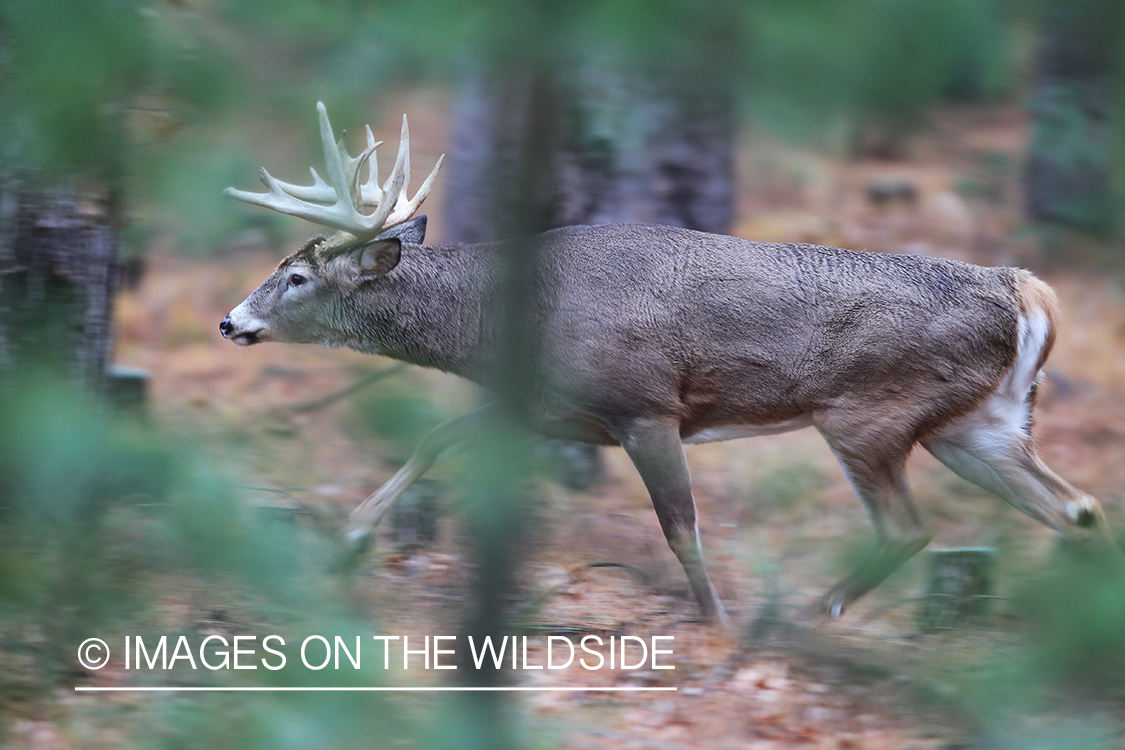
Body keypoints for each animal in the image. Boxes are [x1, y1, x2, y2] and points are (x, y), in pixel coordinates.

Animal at [219, 102, 1116, 625]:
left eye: (296, 277)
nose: (230, 321)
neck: (502, 322)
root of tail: (1024, 289)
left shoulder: (645, 406)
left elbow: (680, 527)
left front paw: (711, 621)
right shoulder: (547, 409)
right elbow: (436, 440)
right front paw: (344, 544)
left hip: (869, 414)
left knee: (910, 527)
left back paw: (802, 616)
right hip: (979, 424)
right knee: (1076, 509)